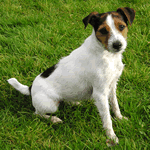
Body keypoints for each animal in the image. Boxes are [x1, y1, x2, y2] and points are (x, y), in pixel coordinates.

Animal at [7, 7, 135, 145]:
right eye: (103, 30)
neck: (107, 55)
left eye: (121, 26)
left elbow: (115, 105)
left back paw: (74, 103)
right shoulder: (100, 93)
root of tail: (30, 88)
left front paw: (120, 118)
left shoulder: (112, 85)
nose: (117, 45)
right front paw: (112, 137)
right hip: (50, 105)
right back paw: (54, 119)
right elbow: (107, 118)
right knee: (37, 113)